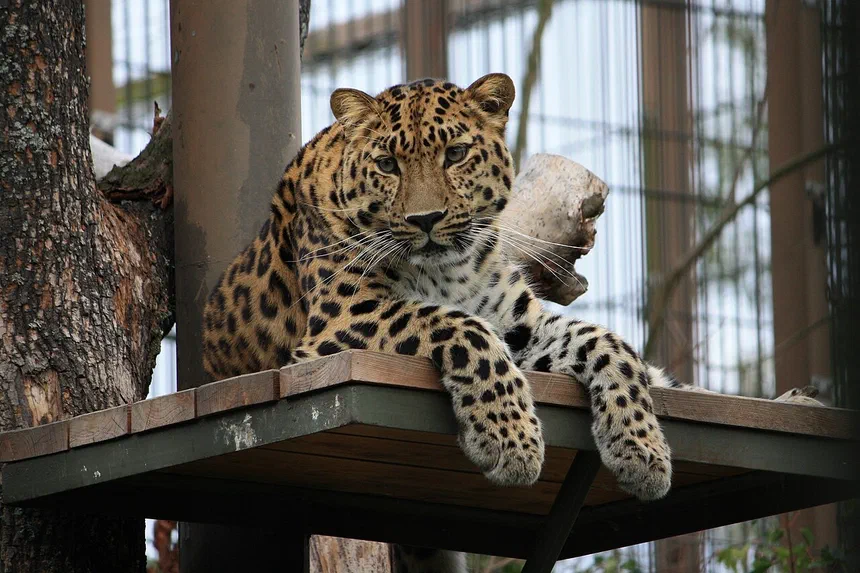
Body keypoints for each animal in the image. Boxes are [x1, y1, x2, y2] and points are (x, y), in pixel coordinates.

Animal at [201, 73, 820, 573]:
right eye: (387, 164)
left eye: (454, 154)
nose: (424, 219)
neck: (446, 269)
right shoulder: (345, 322)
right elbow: (459, 327)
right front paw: (512, 441)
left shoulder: (521, 324)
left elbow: (608, 343)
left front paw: (641, 450)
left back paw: (797, 403)